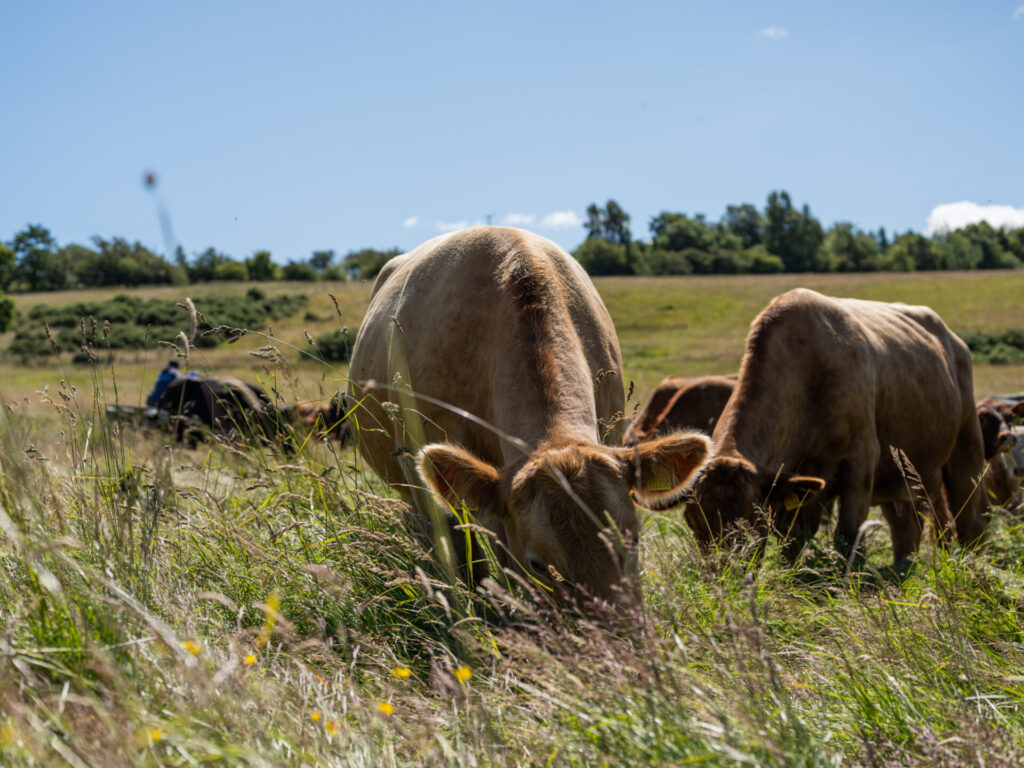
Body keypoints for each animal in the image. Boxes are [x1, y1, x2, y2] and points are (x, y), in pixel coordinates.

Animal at [684, 286, 987, 565]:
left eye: (751, 519)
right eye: (692, 521)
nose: (724, 576)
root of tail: (954, 341)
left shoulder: (861, 459)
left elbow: (849, 534)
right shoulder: (802, 483)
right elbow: (793, 540)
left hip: (966, 450)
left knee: (968, 522)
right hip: (903, 477)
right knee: (909, 529)